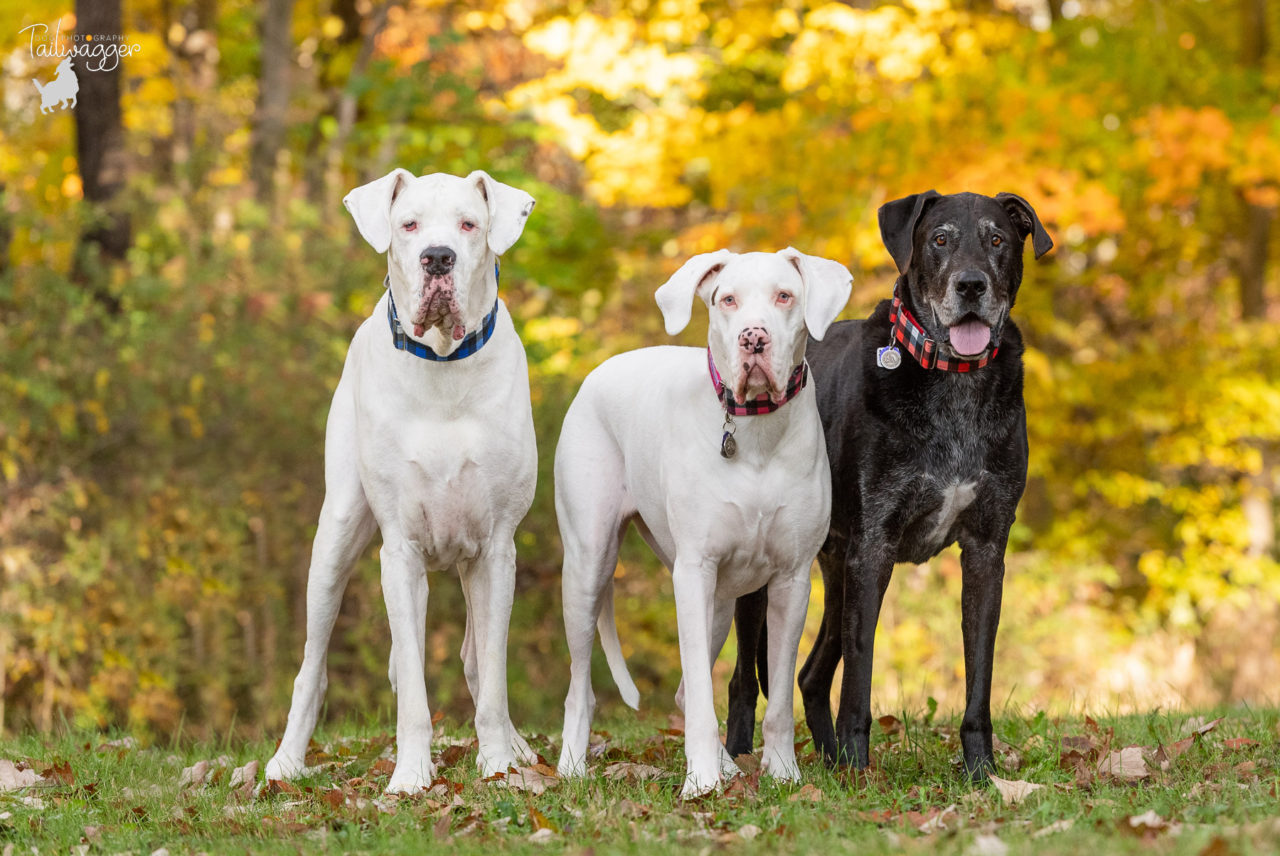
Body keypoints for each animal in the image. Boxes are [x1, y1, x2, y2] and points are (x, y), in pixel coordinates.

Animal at [264, 168, 535, 793]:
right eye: (408, 225)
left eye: (469, 224)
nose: (438, 257)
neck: (445, 365)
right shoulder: (401, 553)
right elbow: (412, 686)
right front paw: (411, 777)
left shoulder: (496, 551)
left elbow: (493, 675)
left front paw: (497, 764)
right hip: (335, 540)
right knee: (311, 668)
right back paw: (285, 762)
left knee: (477, 660)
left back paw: (514, 746)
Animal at [727, 190, 1054, 777]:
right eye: (940, 239)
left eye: (997, 238)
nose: (971, 285)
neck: (953, 379)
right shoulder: (874, 547)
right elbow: (861, 673)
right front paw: (860, 771)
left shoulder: (986, 549)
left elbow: (980, 672)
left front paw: (982, 773)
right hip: (767, 573)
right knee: (743, 680)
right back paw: (745, 762)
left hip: (835, 567)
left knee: (811, 675)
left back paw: (828, 760)